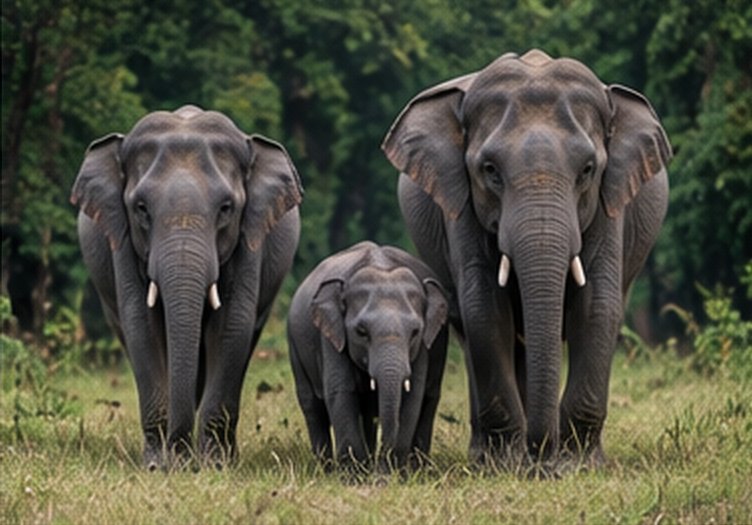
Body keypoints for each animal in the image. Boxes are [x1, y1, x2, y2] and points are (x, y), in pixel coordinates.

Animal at [71, 105, 303, 469]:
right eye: (141, 208)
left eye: (226, 208)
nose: (180, 460)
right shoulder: (121, 238)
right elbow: (141, 327)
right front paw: (156, 466)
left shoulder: (251, 238)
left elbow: (232, 327)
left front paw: (215, 467)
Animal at [287, 241, 449, 472]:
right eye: (361, 331)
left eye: (415, 332)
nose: (383, 466)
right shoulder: (330, 338)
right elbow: (341, 393)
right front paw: (354, 475)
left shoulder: (425, 347)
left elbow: (412, 398)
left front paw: (393, 474)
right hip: (294, 345)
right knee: (312, 405)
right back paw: (327, 470)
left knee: (428, 401)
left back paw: (419, 469)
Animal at [382, 49, 671, 467]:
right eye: (489, 170)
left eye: (588, 170)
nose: (542, 462)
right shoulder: (460, 204)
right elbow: (484, 306)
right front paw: (507, 464)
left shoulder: (610, 202)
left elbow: (597, 304)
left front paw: (578, 465)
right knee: (469, 329)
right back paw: (485, 454)